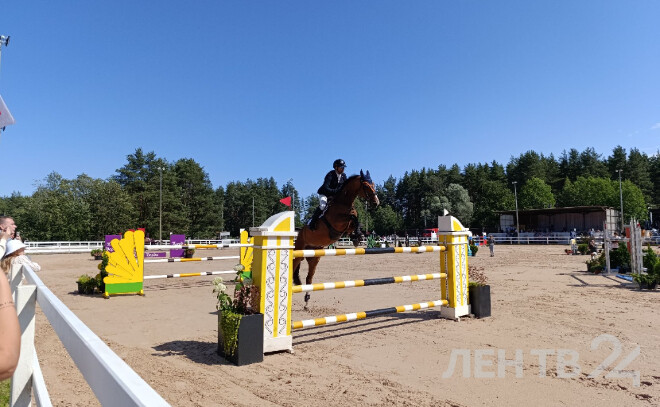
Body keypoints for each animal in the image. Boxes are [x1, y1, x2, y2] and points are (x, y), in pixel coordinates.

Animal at [293, 170, 380, 307]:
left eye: (374, 184)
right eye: (366, 186)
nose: (376, 202)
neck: (343, 203)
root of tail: (299, 233)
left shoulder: (346, 227)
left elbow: (356, 221)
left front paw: (357, 236)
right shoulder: (337, 222)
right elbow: (352, 217)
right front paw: (358, 236)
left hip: (314, 257)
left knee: (309, 278)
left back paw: (307, 301)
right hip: (299, 252)